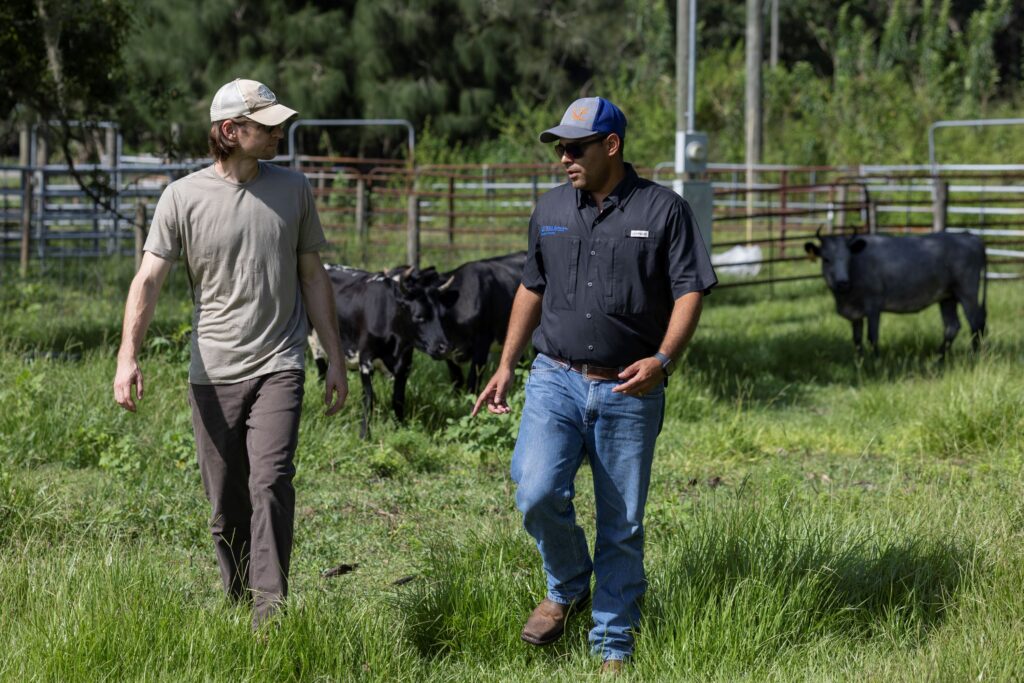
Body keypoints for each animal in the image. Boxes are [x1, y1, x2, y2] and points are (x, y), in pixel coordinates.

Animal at [315, 264, 452, 440]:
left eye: (441, 316)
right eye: (419, 316)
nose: (444, 348)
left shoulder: (405, 365)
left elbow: (398, 399)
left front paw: (401, 428)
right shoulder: (365, 361)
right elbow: (369, 399)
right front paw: (364, 435)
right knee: (321, 373)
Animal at [802, 231, 987, 356]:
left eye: (848, 258)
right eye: (826, 259)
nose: (842, 282)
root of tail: (970, 236)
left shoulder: (873, 305)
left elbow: (872, 336)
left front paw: (875, 365)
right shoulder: (855, 313)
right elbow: (857, 339)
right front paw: (859, 363)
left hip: (968, 292)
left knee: (976, 323)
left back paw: (974, 356)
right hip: (947, 297)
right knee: (952, 326)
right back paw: (938, 358)